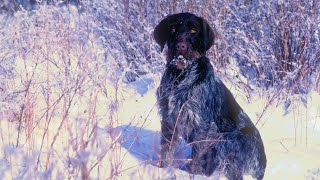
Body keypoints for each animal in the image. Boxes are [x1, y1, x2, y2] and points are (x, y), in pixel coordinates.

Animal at [154, 13, 266, 180]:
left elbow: (197, 159)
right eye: (173, 29)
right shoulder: (169, 119)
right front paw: (162, 169)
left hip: (227, 141)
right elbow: (166, 150)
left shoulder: (202, 125)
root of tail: (262, 168)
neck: (180, 75)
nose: (180, 46)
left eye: (193, 30)